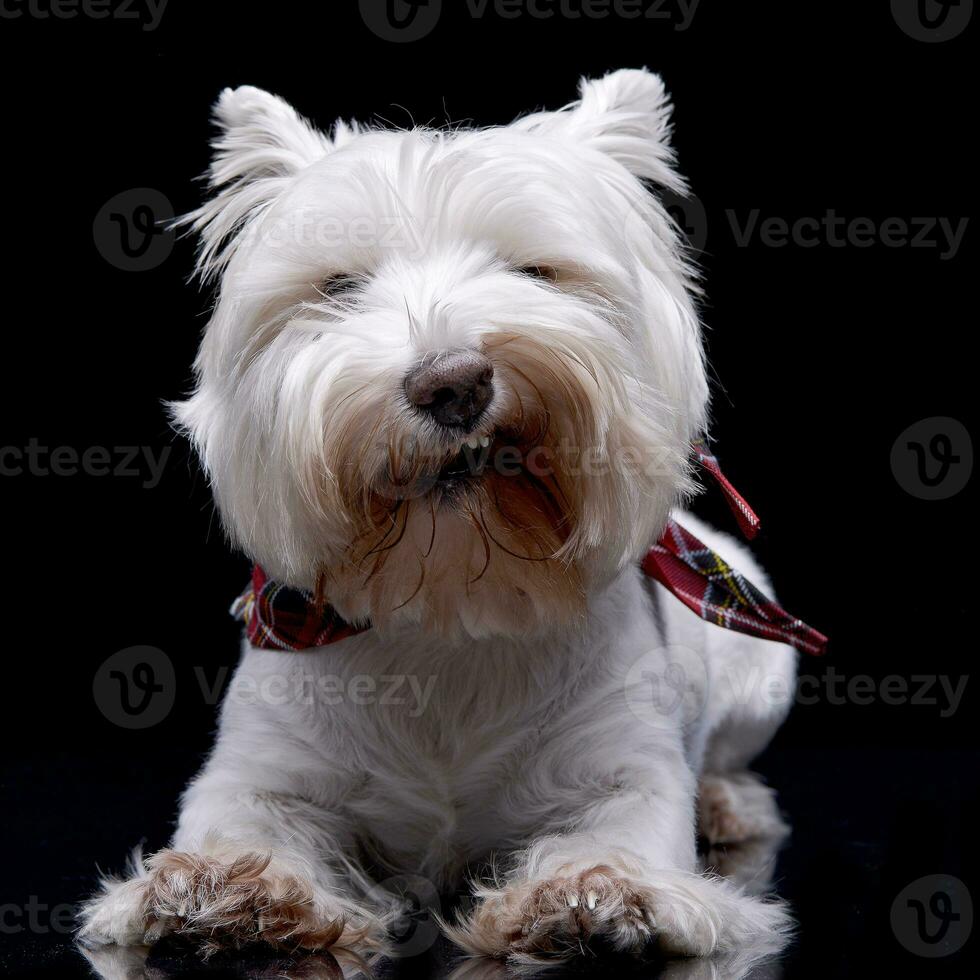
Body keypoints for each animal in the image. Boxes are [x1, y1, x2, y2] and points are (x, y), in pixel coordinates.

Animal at [76, 69, 796, 964]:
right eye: (339, 287)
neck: (452, 606)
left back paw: (726, 804)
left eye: (537, 271)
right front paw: (228, 887)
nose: (453, 383)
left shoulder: (624, 769)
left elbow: (622, 830)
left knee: (730, 754)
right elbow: (240, 821)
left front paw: (592, 894)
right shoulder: (259, 767)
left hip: (761, 661)